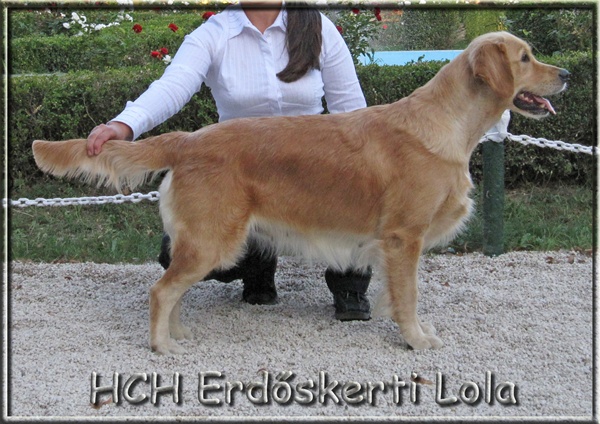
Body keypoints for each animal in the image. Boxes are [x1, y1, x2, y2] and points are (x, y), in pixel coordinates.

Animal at [32, 32, 569, 354]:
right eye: (525, 58)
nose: (565, 75)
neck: (448, 123)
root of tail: (188, 138)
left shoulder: (390, 243)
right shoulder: (404, 237)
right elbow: (410, 296)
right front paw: (417, 339)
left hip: (206, 242)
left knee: (172, 289)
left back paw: (178, 333)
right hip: (213, 241)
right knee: (161, 289)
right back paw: (162, 346)